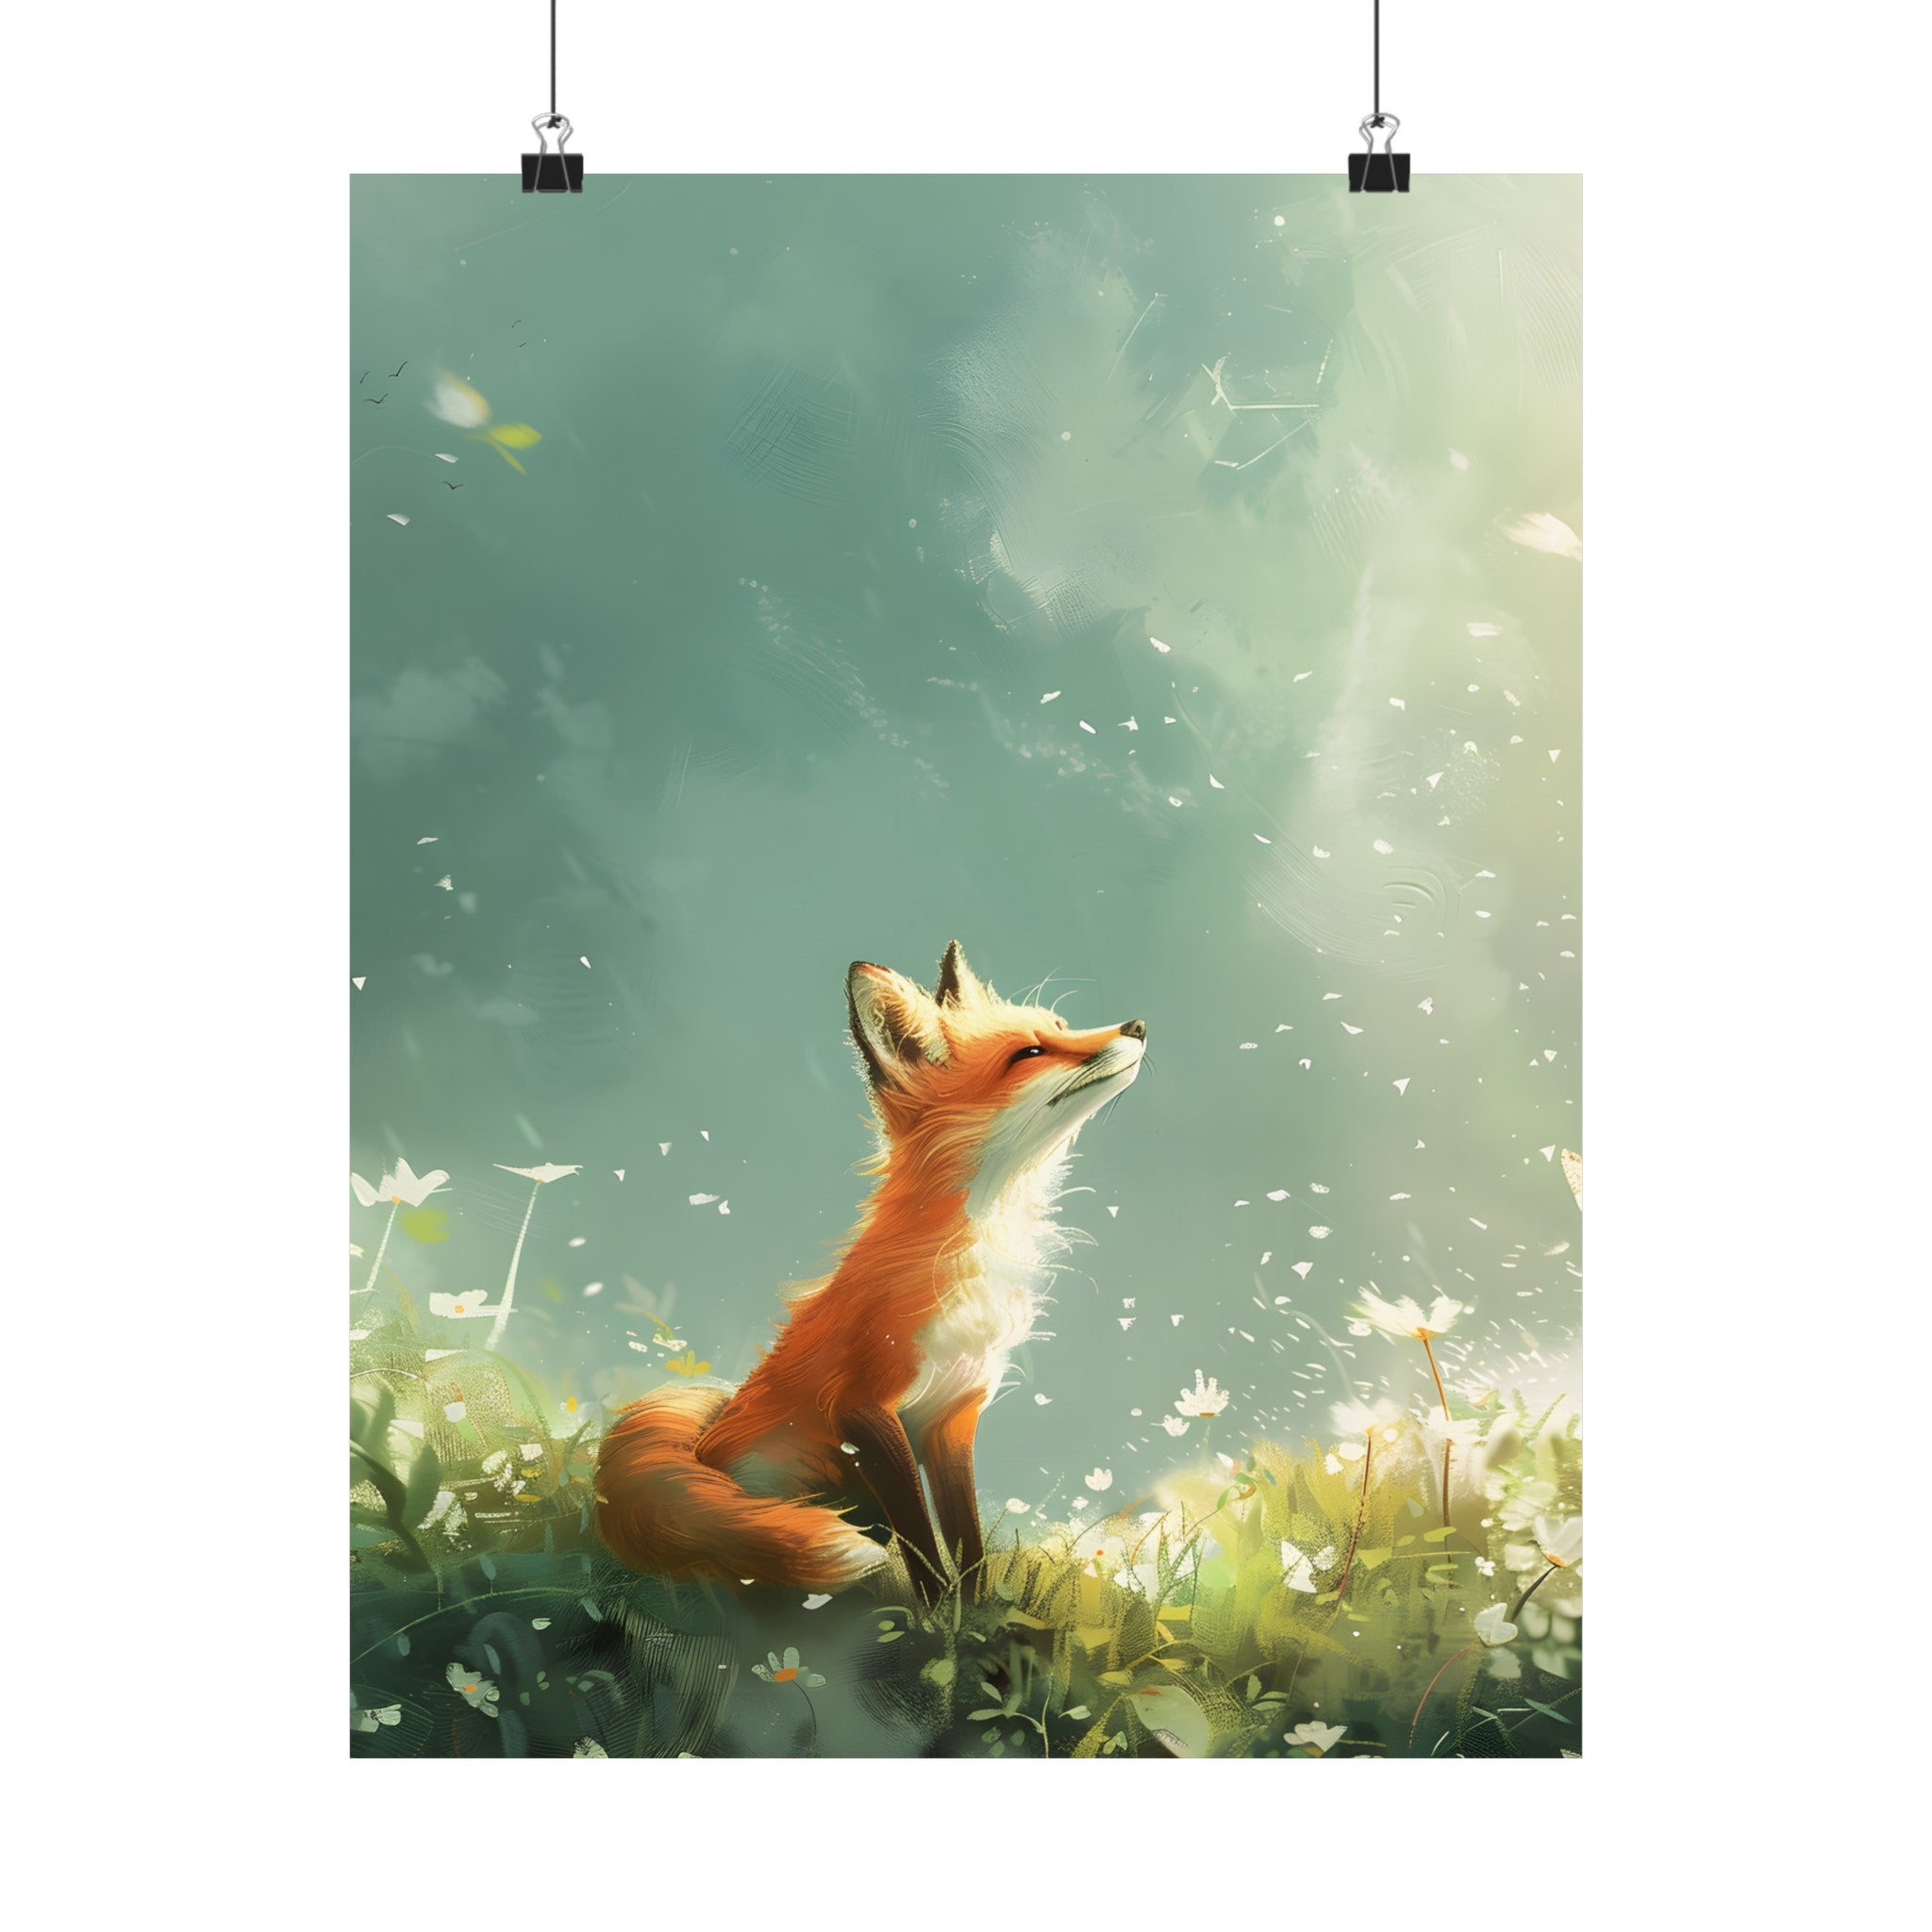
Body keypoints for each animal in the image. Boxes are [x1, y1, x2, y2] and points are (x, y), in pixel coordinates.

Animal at [595, 942, 1146, 1603]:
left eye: (1062, 1026)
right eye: (1030, 1053)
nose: (1138, 1026)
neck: (970, 1255)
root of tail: (700, 1444)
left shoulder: (954, 1410)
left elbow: (966, 1541)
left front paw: (975, 1611)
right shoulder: (863, 1408)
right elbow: (921, 1542)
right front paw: (936, 1614)